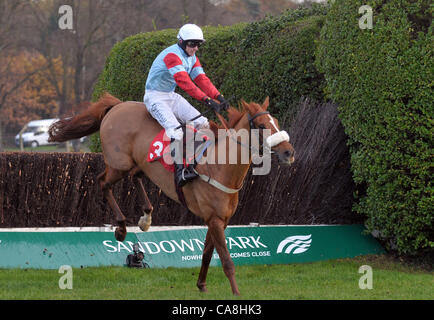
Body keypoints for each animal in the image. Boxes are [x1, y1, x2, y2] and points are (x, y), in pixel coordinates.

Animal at [50, 92, 294, 296]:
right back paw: (121, 228)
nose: (288, 152)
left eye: (276, 122)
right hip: (119, 164)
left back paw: (146, 216)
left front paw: (201, 285)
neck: (220, 166)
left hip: (140, 163)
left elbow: (207, 254)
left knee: (134, 177)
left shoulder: (219, 220)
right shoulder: (214, 219)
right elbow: (226, 260)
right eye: (261, 126)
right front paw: (236, 293)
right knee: (103, 183)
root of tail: (118, 105)